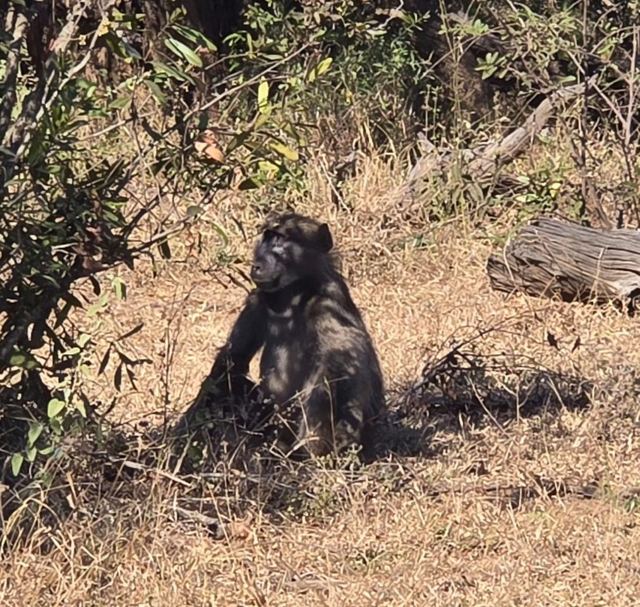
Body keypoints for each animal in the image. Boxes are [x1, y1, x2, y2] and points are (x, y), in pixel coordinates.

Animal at [179, 213, 385, 459]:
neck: (294, 296)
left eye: (279, 239)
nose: (256, 265)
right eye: (266, 237)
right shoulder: (257, 300)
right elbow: (232, 360)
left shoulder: (328, 303)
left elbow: (348, 367)